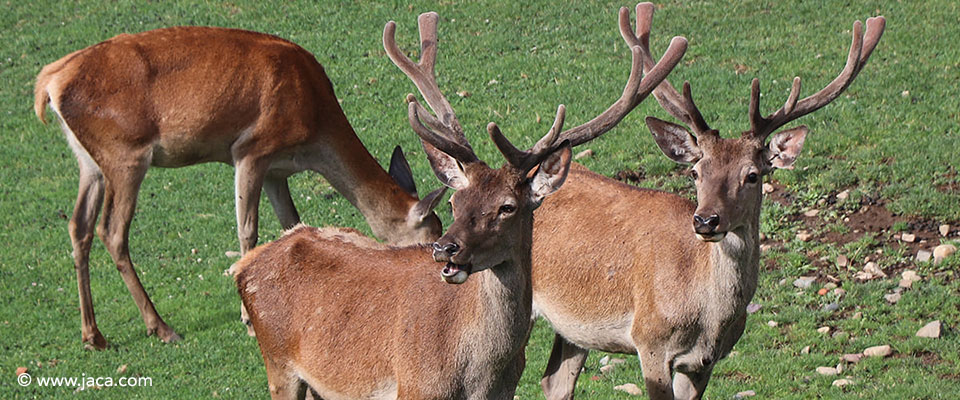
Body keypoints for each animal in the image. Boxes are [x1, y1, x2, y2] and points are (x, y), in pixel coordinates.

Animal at [31, 26, 446, 348]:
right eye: (429, 235)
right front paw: (248, 320)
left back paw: (93, 335)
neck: (314, 129)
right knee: (112, 230)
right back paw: (161, 327)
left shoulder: (278, 171)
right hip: (125, 155)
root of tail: (49, 83)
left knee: (79, 226)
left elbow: (292, 224)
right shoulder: (251, 149)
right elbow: (248, 231)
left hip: (90, 163)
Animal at [232, 10, 684, 400]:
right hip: (279, 364)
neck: (477, 377)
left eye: (507, 207)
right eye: (454, 201)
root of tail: (243, 267)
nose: (445, 248)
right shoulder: (414, 388)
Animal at [532, 3, 884, 400]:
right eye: (695, 172)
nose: (705, 221)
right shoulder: (649, 340)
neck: (710, 320)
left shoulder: (704, 363)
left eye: (752, 175)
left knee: (555, 381)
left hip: (574, 329)